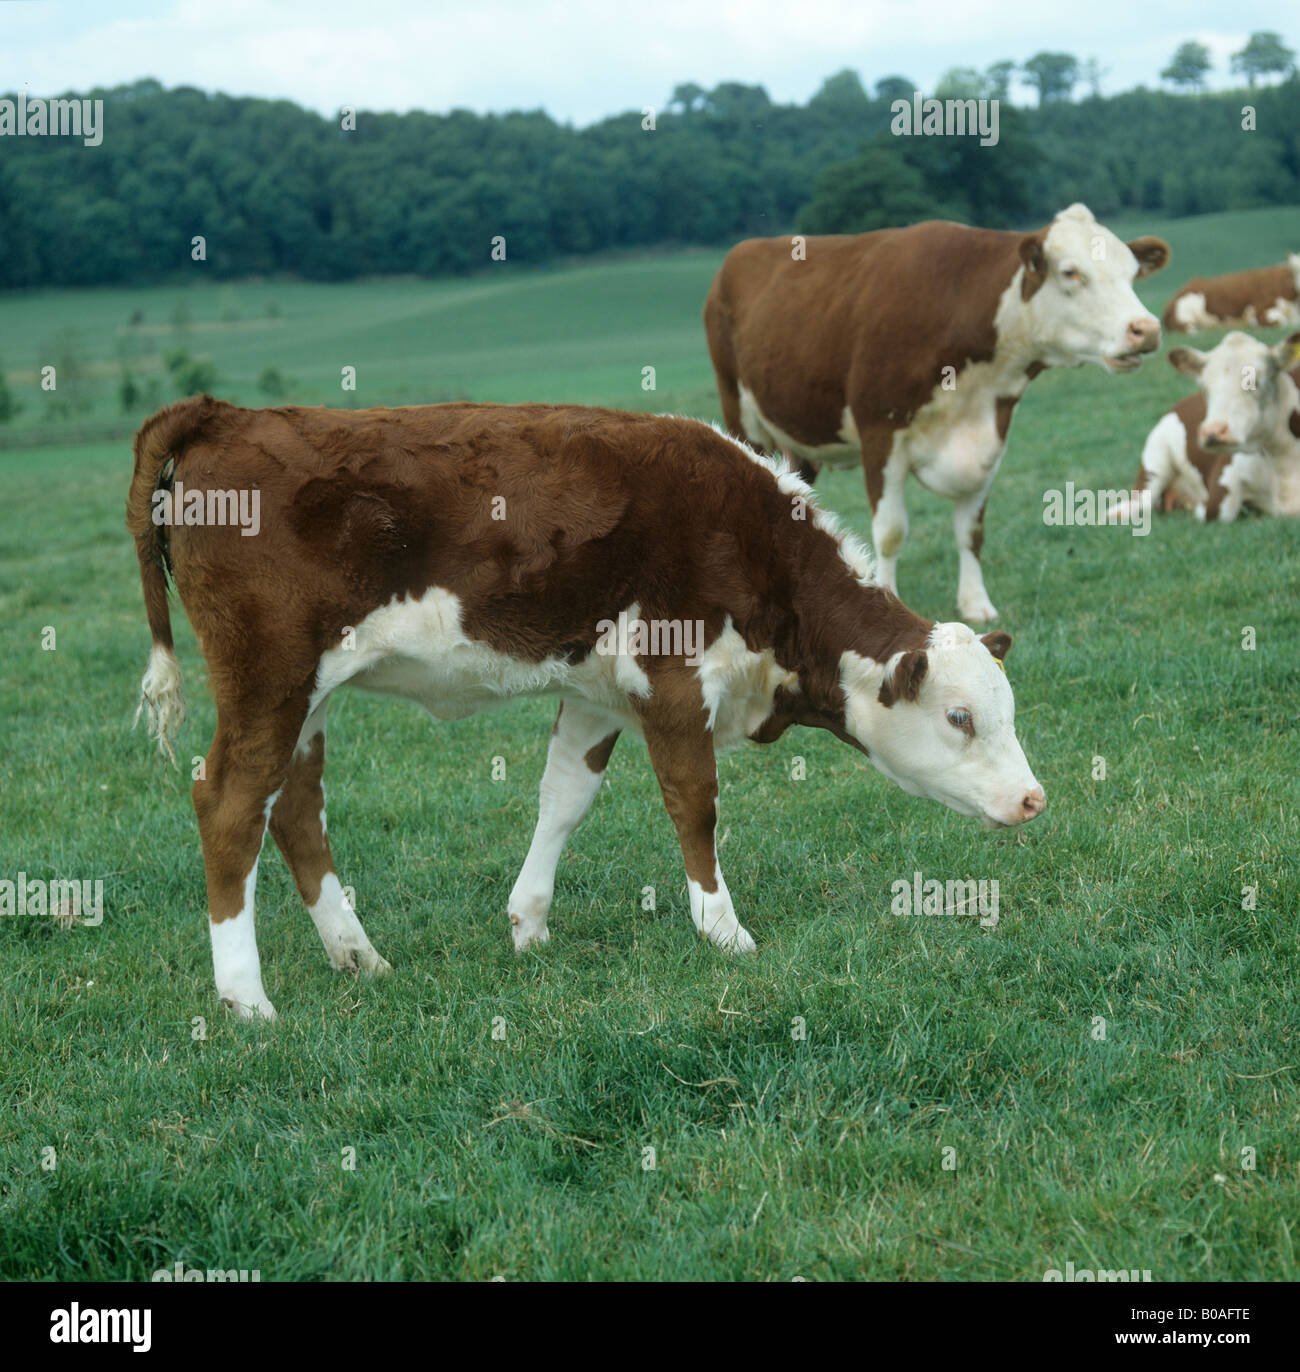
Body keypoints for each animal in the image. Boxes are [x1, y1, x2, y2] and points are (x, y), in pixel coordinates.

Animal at [128, 397, 1045, 1021]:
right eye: (961, 718)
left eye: (1005, 713)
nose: (1034, 799)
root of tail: (225, 414)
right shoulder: (674, 682)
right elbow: (695, 805)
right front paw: (723, 931)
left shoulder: (597, 694)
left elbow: (564, 798)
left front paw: (529, 924)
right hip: (268, 679)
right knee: (230, 806)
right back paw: (246, 998)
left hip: (306, 696)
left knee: (294, 811)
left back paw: (358, 956)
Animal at [703, 203, 1170, 623]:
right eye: (1071, 272)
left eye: (1132, 273)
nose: (1145, 329)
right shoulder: (881, 432)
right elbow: (891, 532)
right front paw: (888, 597)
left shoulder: (990, 434)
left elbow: (971, 531)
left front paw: (976, 604)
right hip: (740, 413)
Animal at [1110, 331, 1300, 524]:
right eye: (1204, 387)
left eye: (1256, 382)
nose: (1212, 432)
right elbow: (1218, 512)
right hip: (1155, 459)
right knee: (1137, 502)